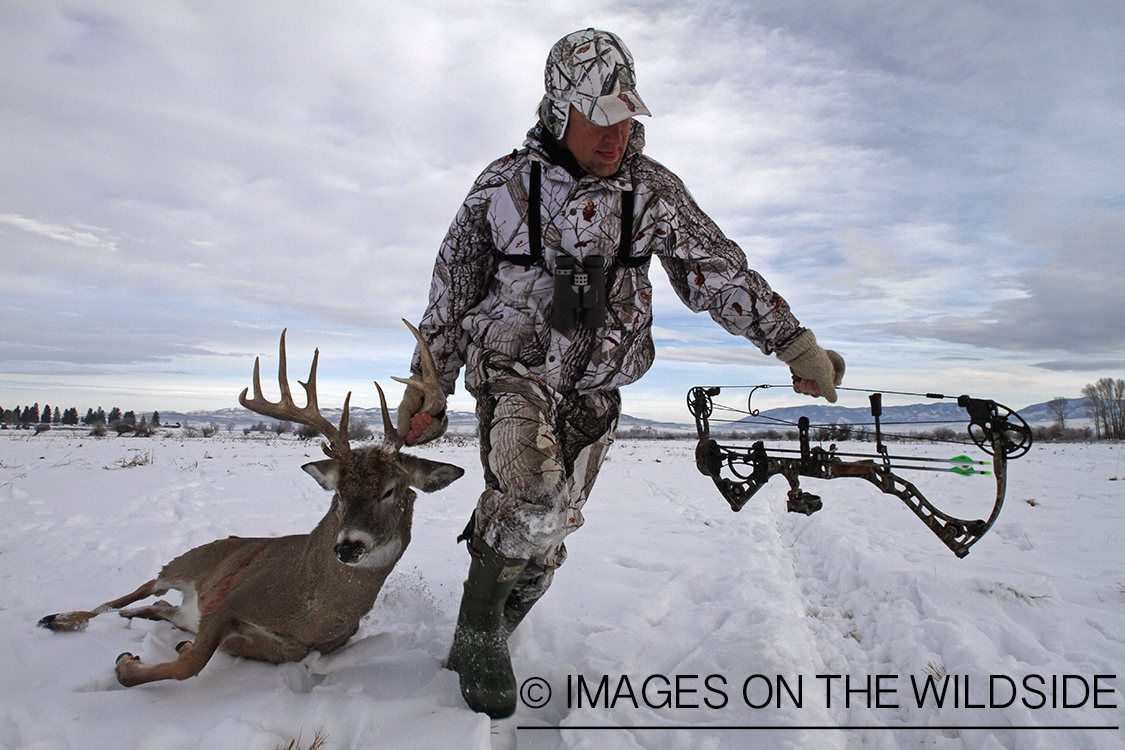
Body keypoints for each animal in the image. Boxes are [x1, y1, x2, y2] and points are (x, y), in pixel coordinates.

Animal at [38, 320, 461, 687]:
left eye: (390, 490)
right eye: (338, 493)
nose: (348, 546)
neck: (308, 610)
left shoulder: (299, 644)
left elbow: (251, 651)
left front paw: (174, 646)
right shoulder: (228, 601)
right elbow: (190, 664)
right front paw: (127, 663)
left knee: (157, 608)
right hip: (188, 561)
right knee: (131, 593)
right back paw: (58, 617)